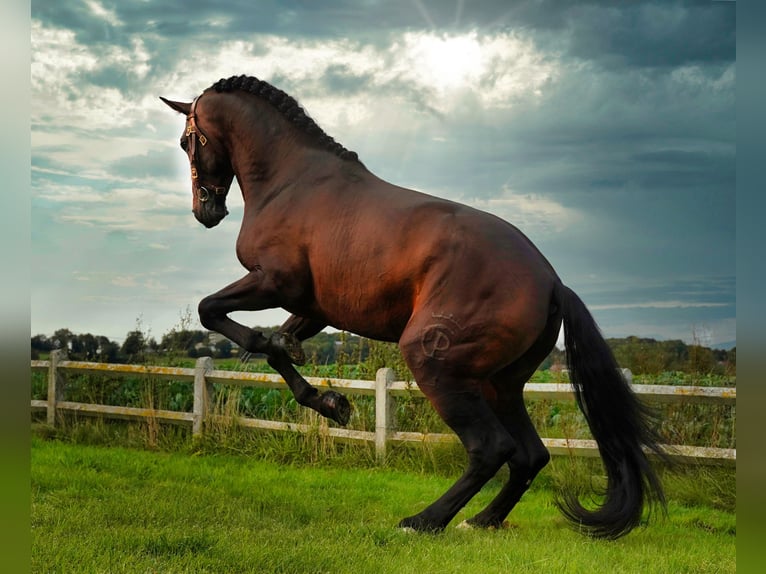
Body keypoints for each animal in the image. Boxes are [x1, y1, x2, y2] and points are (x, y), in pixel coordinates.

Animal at [160, 75, 664, 540]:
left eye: (187, 141)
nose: (205, 212)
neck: (292, 181)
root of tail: (553, 282)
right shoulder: (313, 308)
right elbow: (279, 349)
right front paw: (331, 402)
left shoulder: (273, 283)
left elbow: (215, 314)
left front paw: (319, 390)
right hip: (500, 384)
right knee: (530, 454)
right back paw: (482, 521)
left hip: (435, 364)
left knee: (491, 448)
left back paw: (425, 521)